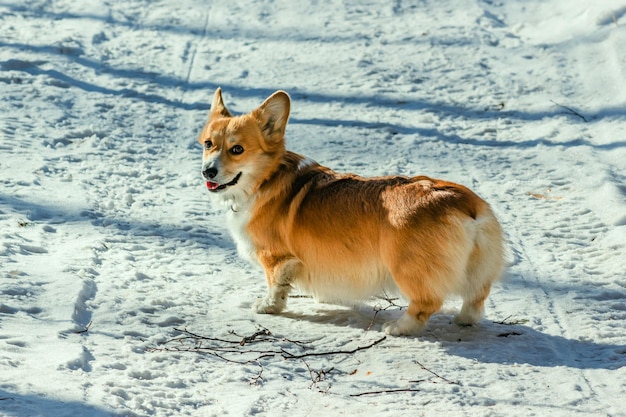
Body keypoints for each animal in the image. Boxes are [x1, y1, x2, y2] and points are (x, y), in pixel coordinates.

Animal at [197, 88, 504, 334]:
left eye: (237, 149)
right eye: (208, 144)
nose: (207, 171)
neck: (266, 178)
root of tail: (463, 203)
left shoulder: (275, 257)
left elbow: (276, 285)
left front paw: (267, 307)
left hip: (407, 267)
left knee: (426, 303)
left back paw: (399, 328)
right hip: (478, 268)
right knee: (476, 298)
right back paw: (464, 321)